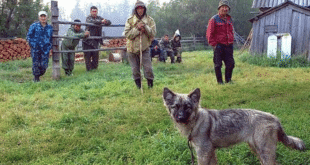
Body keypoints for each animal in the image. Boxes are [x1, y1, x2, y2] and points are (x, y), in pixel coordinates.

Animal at [162, 87, 306, 164]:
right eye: (175, 107)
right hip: (256, 149)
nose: (180, 118)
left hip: (264, 151)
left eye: (187, 107)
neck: (196, 121)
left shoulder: (203, 152)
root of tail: (275, 118)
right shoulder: (210, 152)